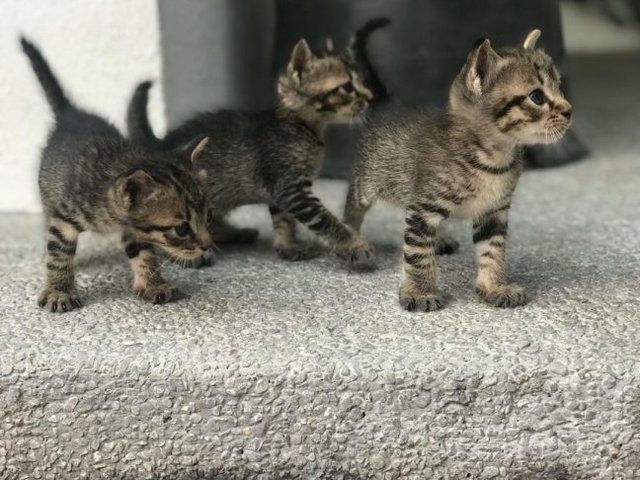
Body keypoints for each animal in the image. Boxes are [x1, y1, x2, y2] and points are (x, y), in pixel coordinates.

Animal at [21, 38, 212, 316]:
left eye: (209, 216)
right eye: (182, 228)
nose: (208, 245)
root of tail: (70, 113)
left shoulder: (133, 228)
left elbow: (144, 253)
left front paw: (153, 284)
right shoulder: (64, 218)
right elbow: (59, 255)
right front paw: (59, 290)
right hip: (49, 198)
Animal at [125, 24, 384, 268]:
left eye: (361, 82)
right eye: (347, 87)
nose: (371, 97)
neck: (302, 128)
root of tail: (158, 143)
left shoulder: (282, 193)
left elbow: (284, 221)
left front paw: (288, 246)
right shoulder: (291, 188)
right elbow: (326, 219)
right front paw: (354, 245)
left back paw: (232, 234)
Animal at [342, 31, 572, 316]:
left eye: (560, 87)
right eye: (537, 97)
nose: (569, 110)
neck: (492, 161)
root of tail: (388, 105)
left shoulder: (493, 211)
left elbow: (493, 250)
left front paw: (494, 286)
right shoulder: (424, 208)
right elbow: (417, 253)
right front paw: (420, 291)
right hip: (369, 179)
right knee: (353, 207)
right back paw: (349, 240)